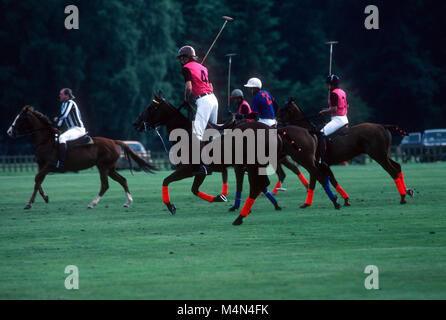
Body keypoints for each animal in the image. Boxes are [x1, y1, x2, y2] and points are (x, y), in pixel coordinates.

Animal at [6, 105, 157, 210]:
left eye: (20, 118)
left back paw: (92, 203)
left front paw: (29, 203)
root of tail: (114, 141)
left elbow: (37, 179)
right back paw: (128, 202)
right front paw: (45, 197)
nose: (9, 131)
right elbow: (38, 181)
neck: (46, 141)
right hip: (109, 168)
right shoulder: (41, 165)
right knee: (122, 180)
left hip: (103, 167)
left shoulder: (50, 165)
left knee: (105, 185)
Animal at [133, 92, 342, 225]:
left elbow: (166, 180)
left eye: (151, 107)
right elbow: (194, 189)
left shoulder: (190, 169)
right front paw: (220, 198)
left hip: (289, 158)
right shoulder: (203, 172)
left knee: (314, 174)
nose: (136, 123)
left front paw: (171, 206)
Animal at [278, 99, 412, 206]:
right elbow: (331, 180)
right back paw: (408, 191)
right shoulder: (323, 165)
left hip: (378, 155)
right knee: (397, 166)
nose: (277, 122)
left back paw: (403, 197)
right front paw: (345, 199)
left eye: (284, 109)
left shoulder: (318, 163)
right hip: (384, 154)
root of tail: (382, 126)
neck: (308, 132)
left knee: (392, 171)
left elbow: (320, 179)